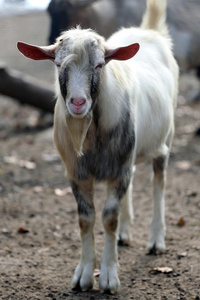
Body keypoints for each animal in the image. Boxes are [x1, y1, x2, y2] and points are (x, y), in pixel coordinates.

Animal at [18, 0, 179, 294]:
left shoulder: (118, 171)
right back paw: (125, 234)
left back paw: (156, 240)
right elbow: (86, 219)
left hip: (165, 140)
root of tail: (149, 31)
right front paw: (83, 274)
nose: (78, 103)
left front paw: (108, 276)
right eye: (58, 64)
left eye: (100, 65)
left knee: (158, 184)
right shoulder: (77, 174)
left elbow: (108, 218)